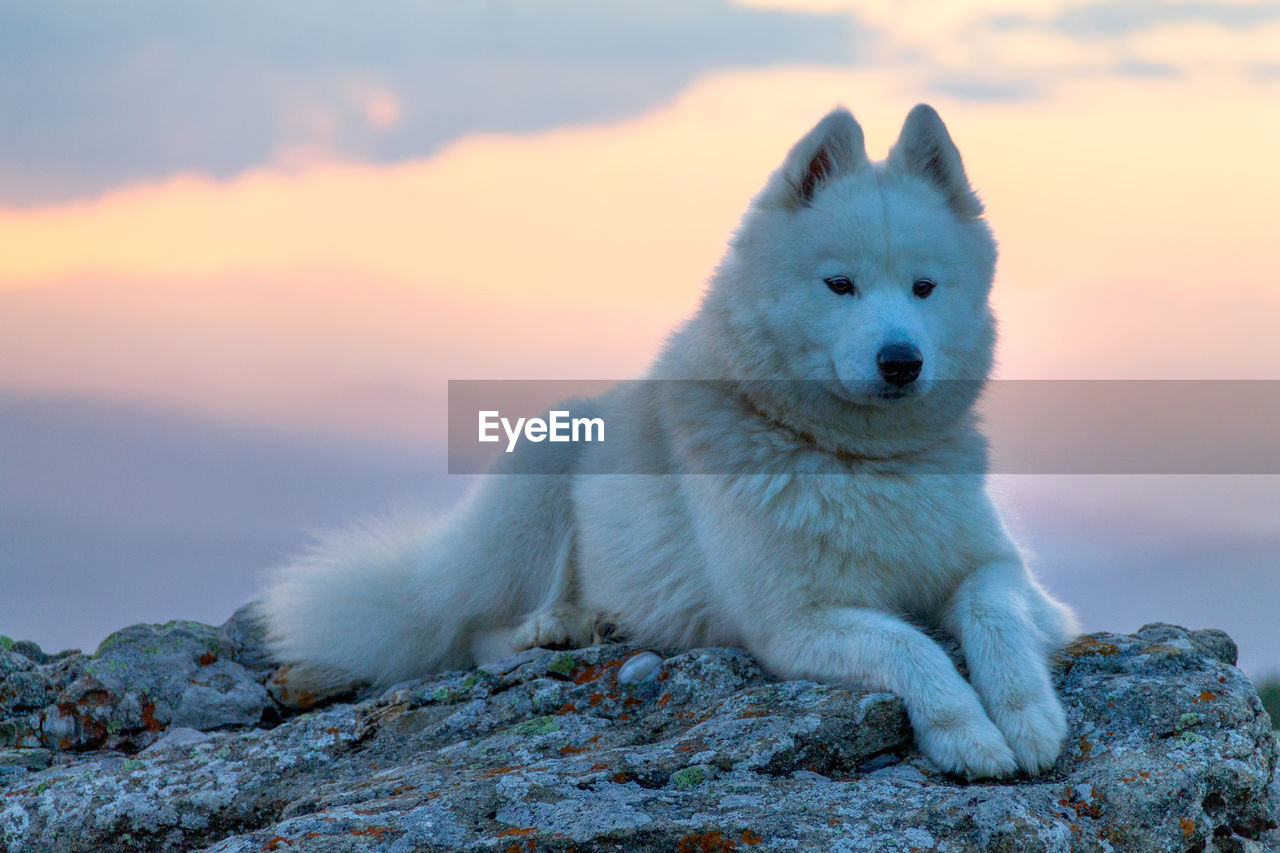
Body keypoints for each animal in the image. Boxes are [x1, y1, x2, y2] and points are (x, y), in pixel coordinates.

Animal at [262, 106, 1080, 778]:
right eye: (840, 285)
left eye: (924, 288)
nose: (901, 360)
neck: (862, 462)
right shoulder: (794, 622)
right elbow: (912, 645)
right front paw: (967, 734)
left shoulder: (997, 568)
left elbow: (998, 619)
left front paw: (1030, 719)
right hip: (540, 472)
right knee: (476, 632)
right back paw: (560, 626)